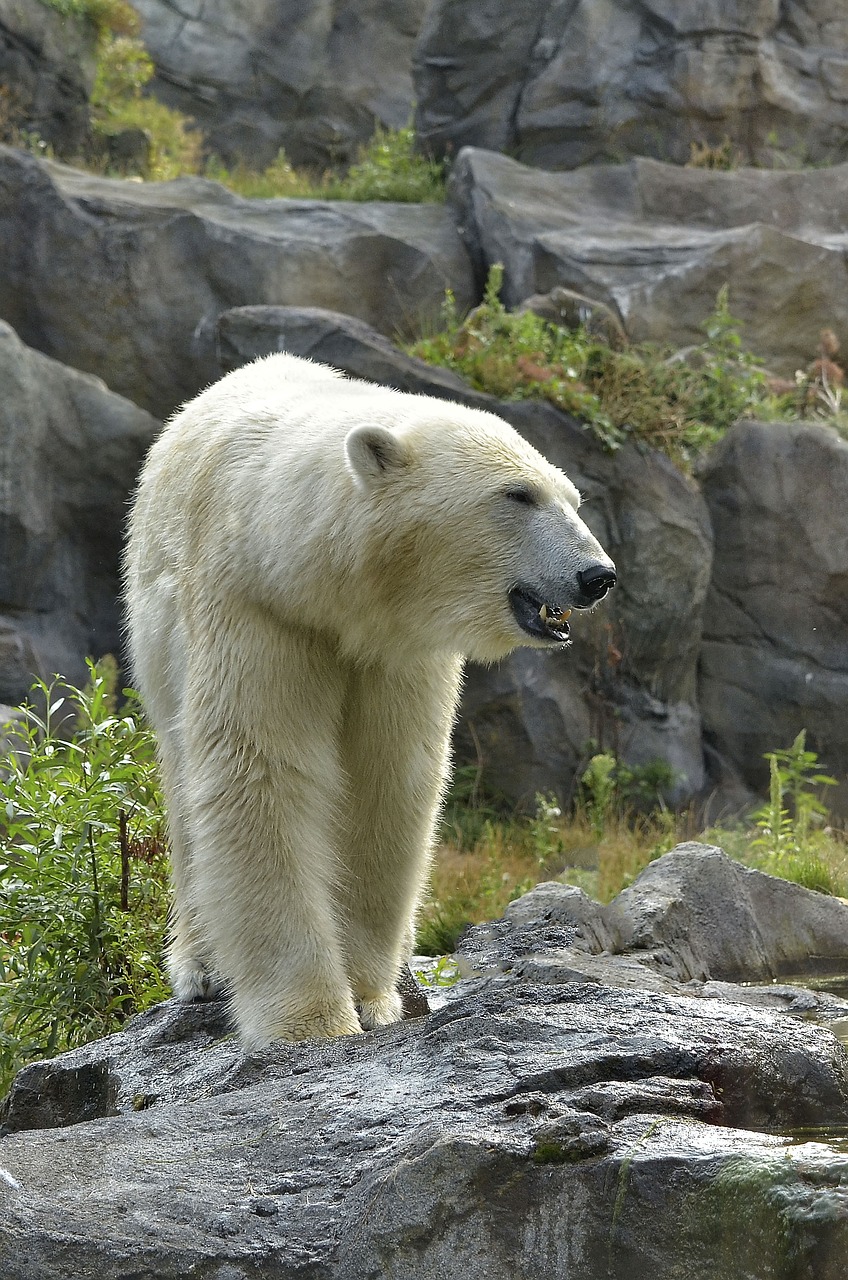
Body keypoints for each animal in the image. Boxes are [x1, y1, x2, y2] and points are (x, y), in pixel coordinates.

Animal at [124, 355, 617, 1044]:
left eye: (571, 498)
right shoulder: (255, 606)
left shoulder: (399, 650)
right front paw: (311, 1021)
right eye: (518, 495)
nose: (597, 576)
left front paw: (372, 996)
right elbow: (261, 771)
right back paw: (199, 965)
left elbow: (387, 780)